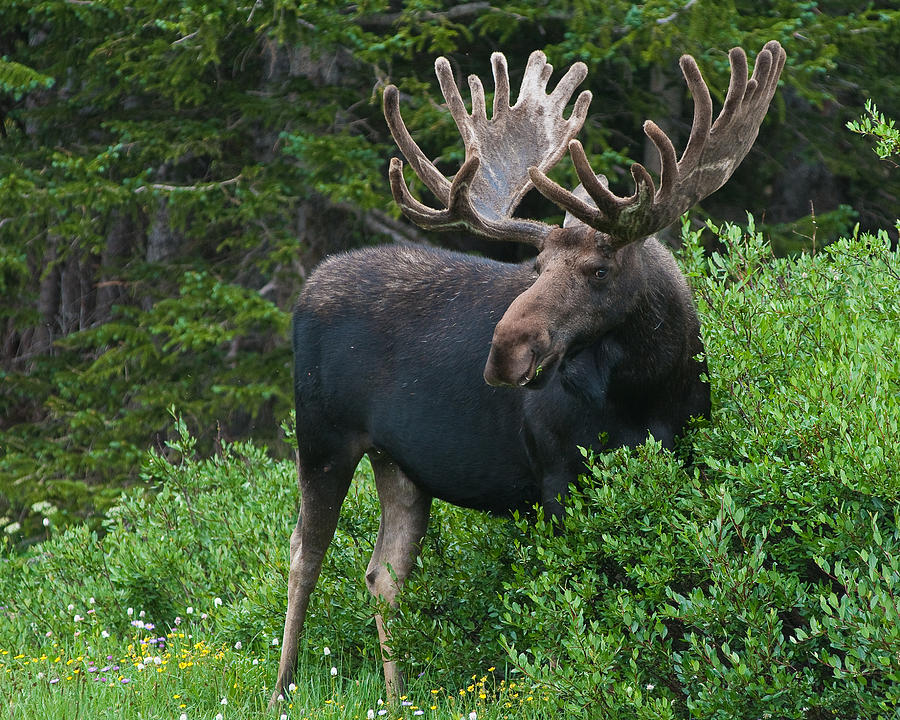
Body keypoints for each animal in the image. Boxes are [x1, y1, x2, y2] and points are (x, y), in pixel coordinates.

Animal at [270, 39, 784, 704]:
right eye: (536, 265)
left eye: (598, 269)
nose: (503, 353)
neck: (650, 390)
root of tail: (308, 287)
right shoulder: (558, 473)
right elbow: (579, 596)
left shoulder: (682, 456)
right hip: (322, 436)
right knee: (303, 553)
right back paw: (281, 688)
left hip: (400, 464)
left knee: (383, 574)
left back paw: (396, 694)